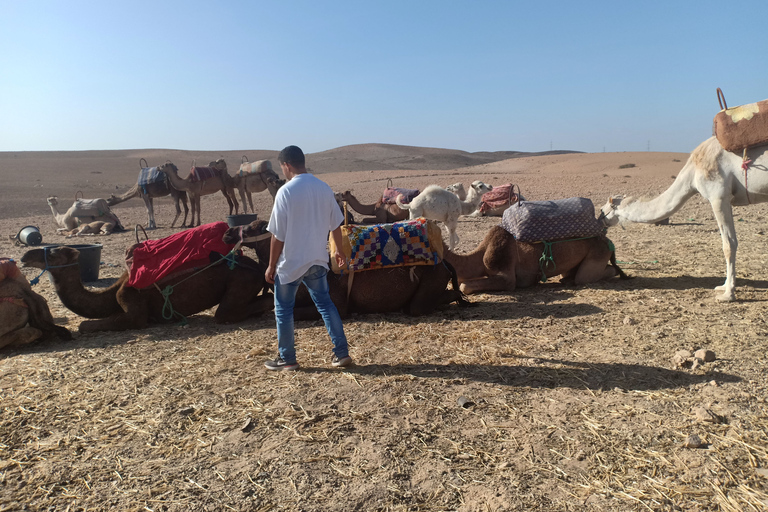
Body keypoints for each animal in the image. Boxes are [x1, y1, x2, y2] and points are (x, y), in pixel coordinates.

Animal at [20, 246, 276, 334]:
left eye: (53, 252)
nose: (25, 256)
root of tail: (257, 267)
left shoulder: (129, 300)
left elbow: (85, 325)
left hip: (241, 280)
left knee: (225, 312)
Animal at [219, 219, 464, 318]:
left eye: (253, 227)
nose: (227, 233)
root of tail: (444, 262)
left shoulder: (337, 303)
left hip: (431, 280)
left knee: (420, 306)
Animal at [440, 226, 628, 294]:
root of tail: (608, 241)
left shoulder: (507, 277)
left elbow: (464, 286)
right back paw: (567, 280)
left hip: (598, 254)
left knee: (588, 276)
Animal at [600, 137, 768, 304]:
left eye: (603, 210)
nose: (601, 221)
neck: (692, 175)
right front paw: (723, 286)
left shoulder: (718, 196)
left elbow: (729, 244)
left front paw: (728, 294)